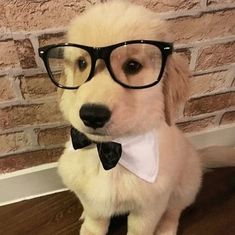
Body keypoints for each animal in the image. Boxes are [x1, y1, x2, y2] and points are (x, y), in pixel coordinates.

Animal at [38, 0, 233, 234]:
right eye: (82, 64)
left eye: (132, 66)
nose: (92, 115)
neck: (110, 151)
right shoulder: (93, 202)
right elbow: (95, 222)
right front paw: (88, 224)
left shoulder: (149, 208)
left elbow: (142, 228)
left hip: (184, 186)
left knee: (174, 211)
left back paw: (166, 229)